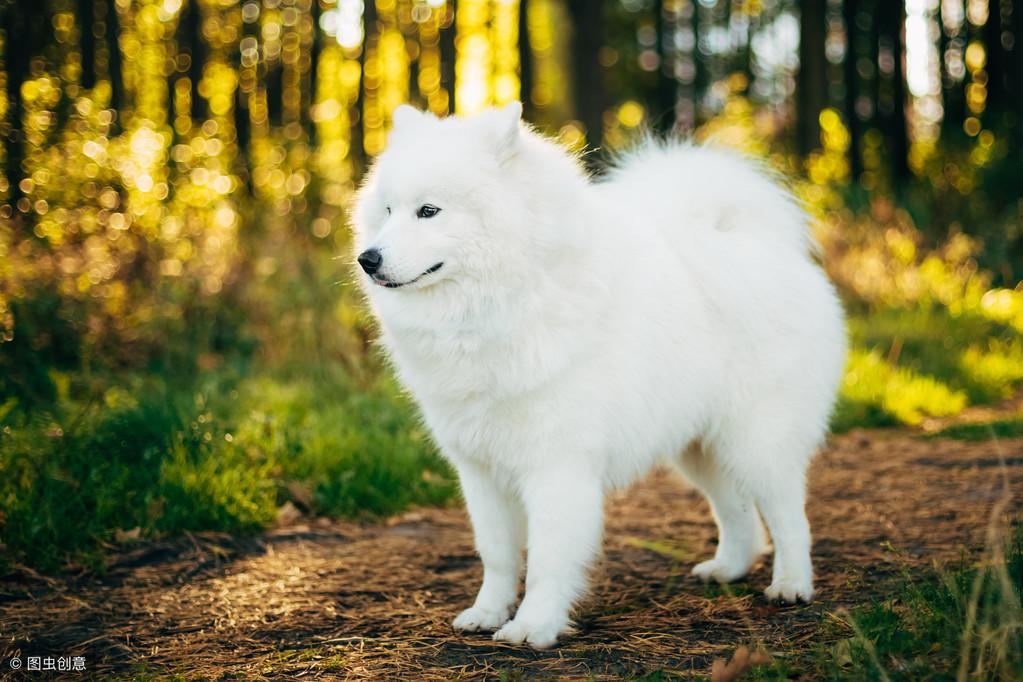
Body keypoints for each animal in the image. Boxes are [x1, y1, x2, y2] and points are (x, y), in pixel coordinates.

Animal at [351, 102, 847, 650]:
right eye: (388, 211)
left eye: (429, 211)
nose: (368, 258)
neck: (502, 301)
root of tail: (759, 245)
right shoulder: (480, 468)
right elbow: (497, 554)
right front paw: (487, 613)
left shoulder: (557, 466)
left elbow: (547, 560)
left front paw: (533, 626)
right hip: (700, 446)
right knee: (736, 511)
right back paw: (728, 568)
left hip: (757, 438)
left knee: (789, 516)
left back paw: (792, 585)